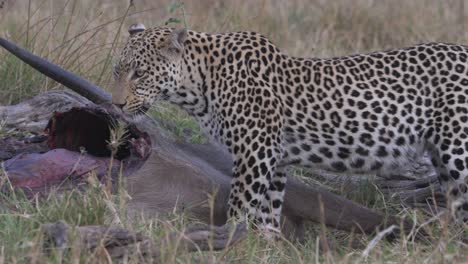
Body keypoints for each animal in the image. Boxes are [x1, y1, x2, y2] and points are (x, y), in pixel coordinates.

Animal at [112, 22, 468, 233]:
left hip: (458, 150)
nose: (116, 104)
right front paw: (263, 245)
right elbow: (269, 211)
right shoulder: (276, 158)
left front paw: (230, 243)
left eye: (140, 74)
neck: (200, 82)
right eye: (118, 71)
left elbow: (241, 205)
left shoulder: (255, 152)